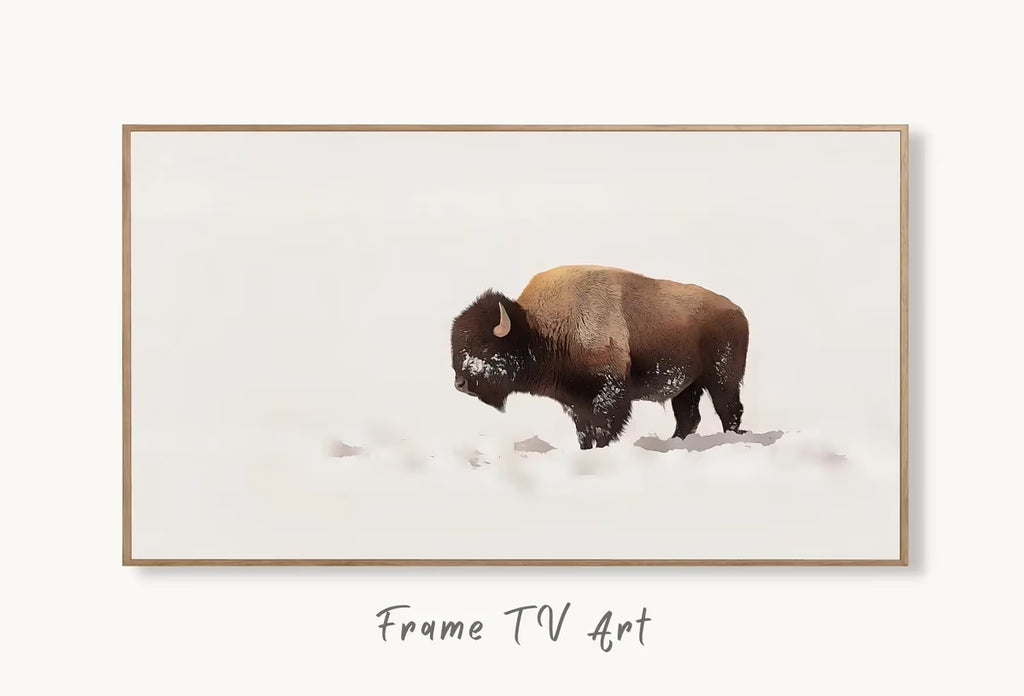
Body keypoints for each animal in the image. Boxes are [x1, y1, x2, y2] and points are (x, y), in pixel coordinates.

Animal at [450, 265, 749, 449]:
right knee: (689, 417)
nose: (460, 384)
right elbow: (585, 432)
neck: (538, 328)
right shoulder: (575, 402)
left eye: (484, 346)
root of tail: (737, 310)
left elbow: (603, 428)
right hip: (688, 386)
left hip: (722, 379)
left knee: (729, 410)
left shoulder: (609, 392)